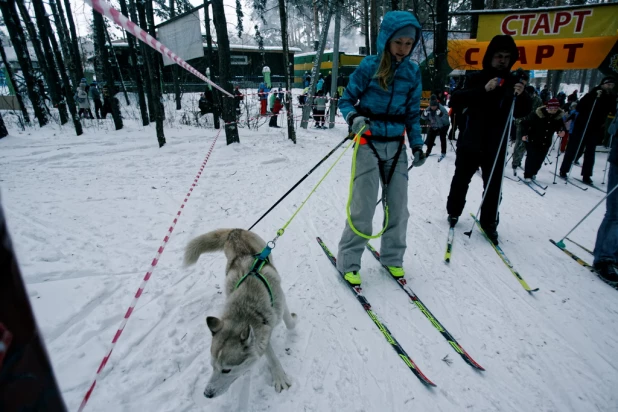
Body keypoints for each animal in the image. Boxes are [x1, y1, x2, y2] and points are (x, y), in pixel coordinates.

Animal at [183, 229, 296, 400]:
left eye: (226, 370)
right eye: (212, 366)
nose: (207, 394)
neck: (246, 307)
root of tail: (234, 231)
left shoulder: (278, 304)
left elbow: (288, 324)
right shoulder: (263, 332)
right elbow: (269, 353)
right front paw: (279, 376)